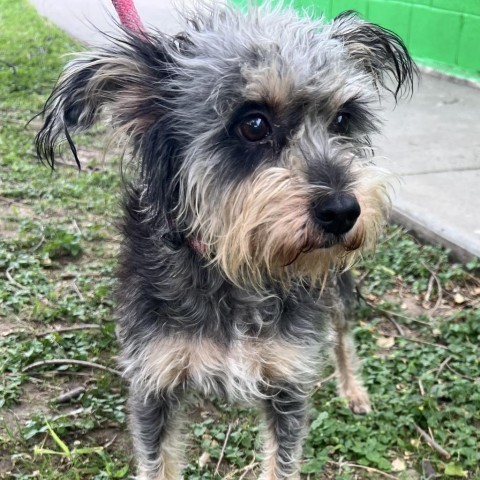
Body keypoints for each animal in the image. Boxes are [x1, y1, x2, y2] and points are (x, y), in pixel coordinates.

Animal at [35, 2, 414, 476]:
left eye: (343, 119)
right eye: (253, 124)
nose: (344, 211)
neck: (233, 267)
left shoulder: (287, 384)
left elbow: (282, 461)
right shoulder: (153, 384)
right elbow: (157, 462)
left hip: (336, 285)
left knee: (342, 333)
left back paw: (353, 390)